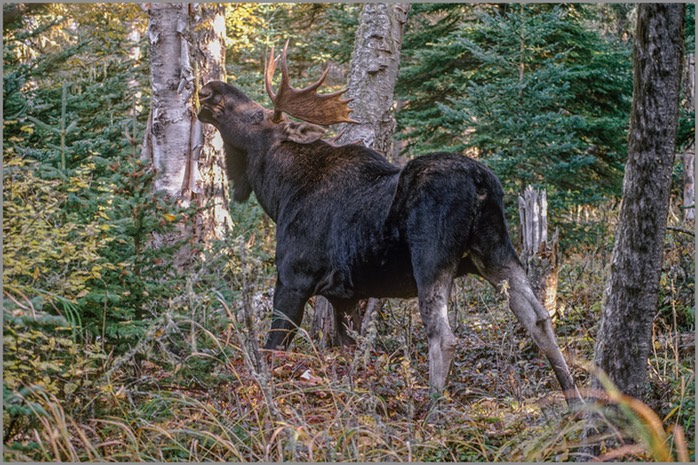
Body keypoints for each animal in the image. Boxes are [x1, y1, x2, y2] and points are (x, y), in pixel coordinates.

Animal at [197, 43, 580, 406]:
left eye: (257, 115)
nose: (210, 89)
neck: (279, 194)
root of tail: (480, 182)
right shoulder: (346, 296)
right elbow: (349, 354)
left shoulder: (294, 278)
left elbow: (272, 349)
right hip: (497, 250)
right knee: (539, 320)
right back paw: (575, 405)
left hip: (432, 259)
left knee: (444, 337)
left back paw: (433, 414)